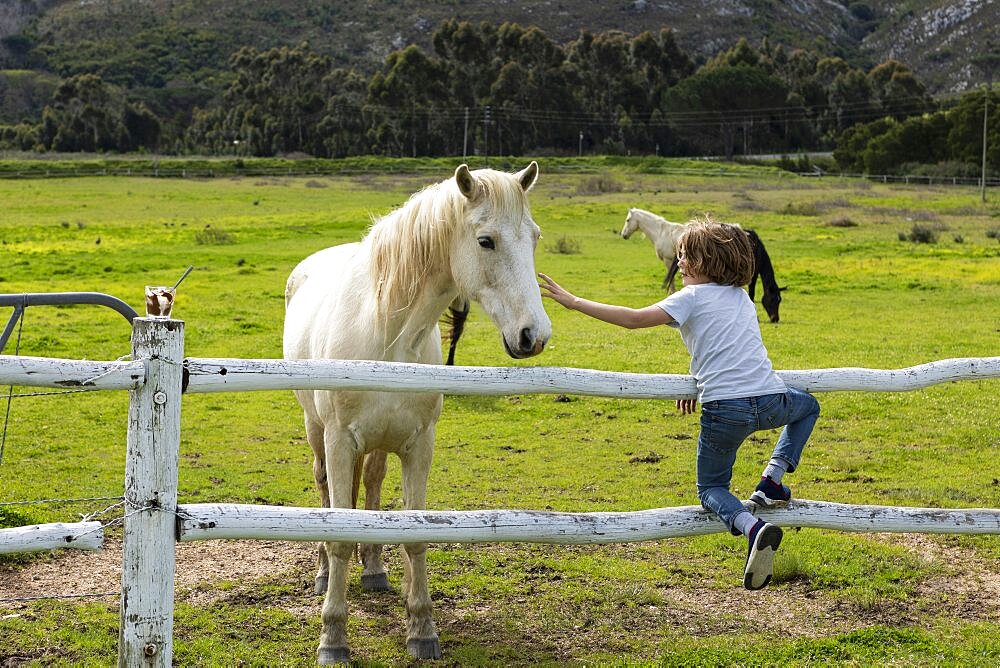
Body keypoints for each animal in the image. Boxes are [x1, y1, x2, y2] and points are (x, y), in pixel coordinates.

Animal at [282, 160, 552, 664]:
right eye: (486, 241)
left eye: (534, 236)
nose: (534, 335)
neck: (388, 333)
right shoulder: (339, 441)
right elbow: (339, 533)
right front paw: (333, 638)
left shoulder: (419, 444)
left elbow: (415, 534)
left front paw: (423, 630)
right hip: (316, 431)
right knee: (325, 489)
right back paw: (325, 574)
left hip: (380, 443)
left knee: (370, 485)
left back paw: (373, 571)